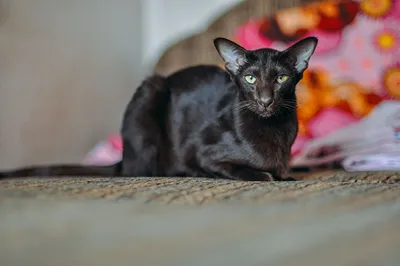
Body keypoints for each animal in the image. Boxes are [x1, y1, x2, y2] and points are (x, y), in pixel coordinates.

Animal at [0, 36, 318, 182]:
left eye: (281, 79)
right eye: (250, 79)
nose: (265, 100)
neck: (274, 130)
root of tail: (123, 158)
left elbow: (284, 172)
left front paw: (286, 174)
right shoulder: (203, 151)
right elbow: (242, 169)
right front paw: (264, 175)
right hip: (151, 93)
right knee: (142, 172)